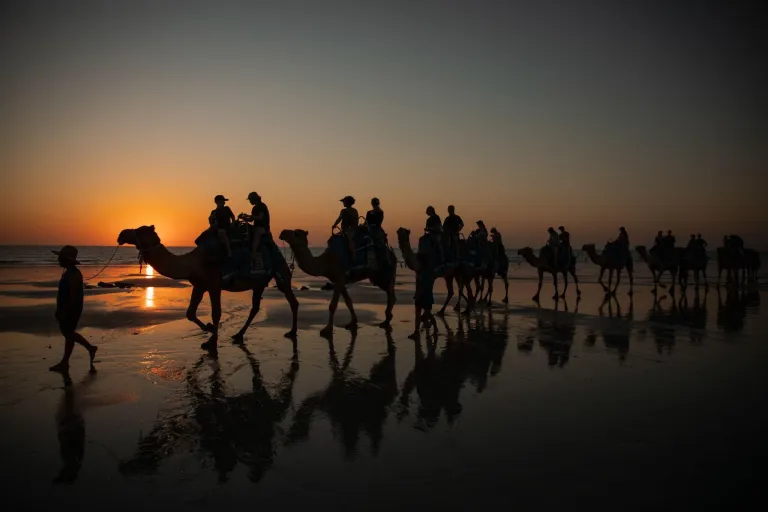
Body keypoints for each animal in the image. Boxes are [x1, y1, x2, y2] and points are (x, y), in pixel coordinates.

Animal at [118, 224, 298, 348]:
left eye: (140, 230)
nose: (121, 234)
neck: (193, 262)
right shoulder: (199, 285)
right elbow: (190, 313)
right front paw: (209, 329)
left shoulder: (214, 284)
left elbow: (216, 313)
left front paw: (211, 341)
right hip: (259, 282)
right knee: (255, 307)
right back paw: (239, 334)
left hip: (280, 270)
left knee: (292, 300)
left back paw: (292, 332)